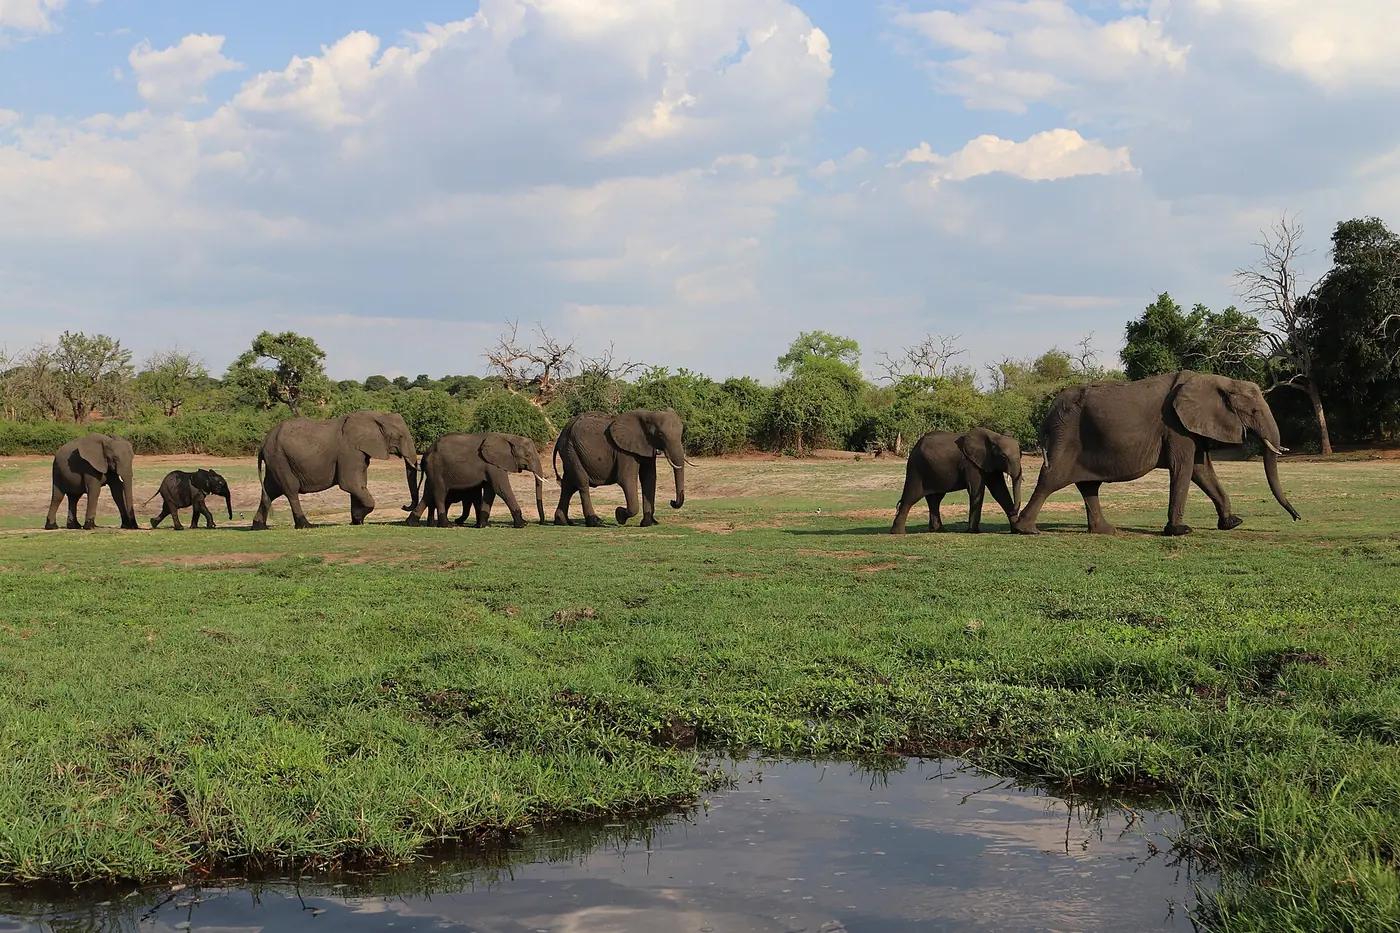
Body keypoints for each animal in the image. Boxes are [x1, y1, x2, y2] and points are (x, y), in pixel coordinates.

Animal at [251, 411, 418, 529]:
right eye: (400, 436)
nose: (404, 506)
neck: (377, 415)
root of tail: (263, 444)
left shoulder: (359, 453)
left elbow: (358, 485)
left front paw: (356, 521)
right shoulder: (349, 451)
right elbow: (351, 484)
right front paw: (358, 518)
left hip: (276, 460)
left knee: (269, 491)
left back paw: (259, 527)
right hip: (280, 458)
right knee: (291, 490)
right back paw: (305, 525)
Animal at [403, 432, 546, 528]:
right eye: (527, 455)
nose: (541, 522)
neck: (508, 437)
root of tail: (425, 454)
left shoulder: (492, 465)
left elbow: (490, 491)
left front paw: (483, 525)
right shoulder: (493, 464)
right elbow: (501, 489)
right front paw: (522, 524)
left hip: (432, 471)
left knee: (428, 493)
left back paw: (412, 523)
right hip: (437, 467)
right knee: (440, 492)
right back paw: (447, 525)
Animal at [552, 410, 686, 527]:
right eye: (660, 434)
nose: (672, 502)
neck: (648, 414)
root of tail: (561, 435)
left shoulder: (646, 447)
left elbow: (649, 479)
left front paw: (647, 523)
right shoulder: (624, 451)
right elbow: (626, 479)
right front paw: (619, 516)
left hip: (570, 451)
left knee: (568, 485)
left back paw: (562, 521)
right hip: (571, 450)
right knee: (582, 484)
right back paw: (595, 522)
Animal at [891, 428, 1022, 534]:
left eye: (1021, 455)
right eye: (1004, 457)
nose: (1015, 511)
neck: (994, 437)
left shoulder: (989, 463)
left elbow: (1000, 491)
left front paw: (1017, 530)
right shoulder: (970, 464)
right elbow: (976, 491)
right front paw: (973, 532)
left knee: (935, 499)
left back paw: (938, 530)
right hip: (916, 468)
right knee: (910, 498)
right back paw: (898, 533)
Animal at [1012, 371, 1301, 537]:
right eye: (1253, 411)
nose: (1297, 517)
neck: (1216, 380)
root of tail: (1049, 410)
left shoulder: (1189, 426)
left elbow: (1202, 470)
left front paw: (1233, 523)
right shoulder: (1175, 426)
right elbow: (1184, 468)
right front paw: (1180, 531)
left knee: (1089, 485)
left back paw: (1106, 531)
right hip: (1066, 435)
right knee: (1053, 478)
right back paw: (1026, 530)